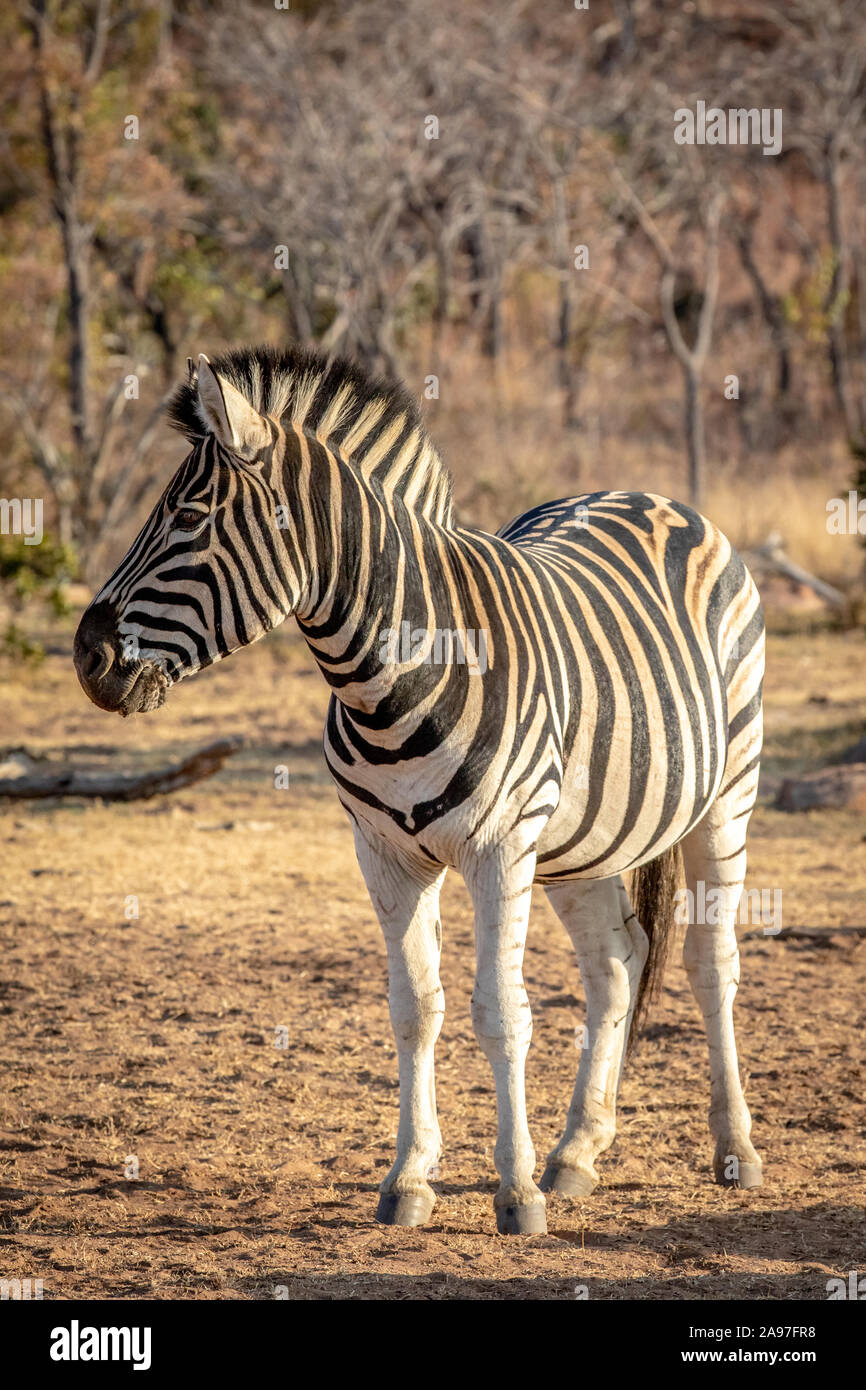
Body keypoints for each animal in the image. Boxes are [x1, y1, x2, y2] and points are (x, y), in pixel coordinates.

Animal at [74, 347, 767, 1239]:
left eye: (188, 519)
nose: (86, 657)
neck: (390, 676)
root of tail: (653, 495)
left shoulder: (499, 847)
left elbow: (500, 1013)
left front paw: (515, 1194)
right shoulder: (385, 854)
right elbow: (415, 1009)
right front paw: (409, 1179)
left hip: (728, 791)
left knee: (710, 963)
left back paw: (734, 1151)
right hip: (581, 837)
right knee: (617, 962)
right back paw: (578, 1151)